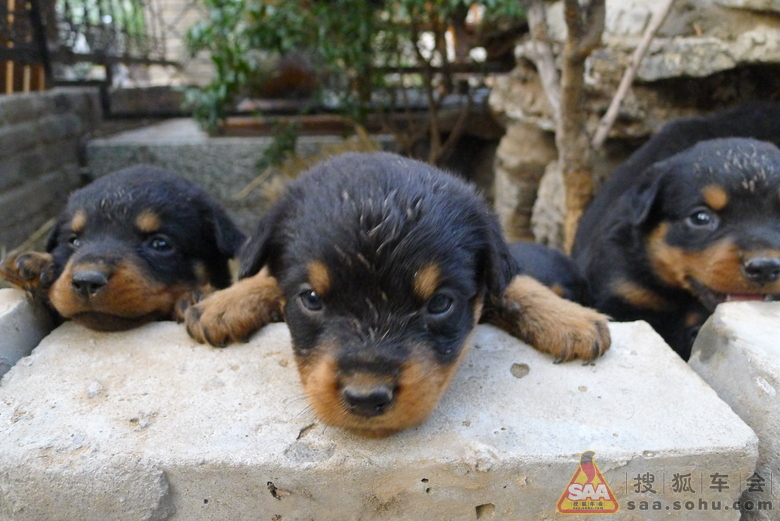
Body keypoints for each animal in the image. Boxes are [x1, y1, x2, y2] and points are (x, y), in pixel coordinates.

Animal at [186, 152, 612, 436]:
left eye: (440, 303)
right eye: (311, 299)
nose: (365, 396)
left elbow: (515, 284)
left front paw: (571, 319)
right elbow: (269, 279)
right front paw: (222, 303)